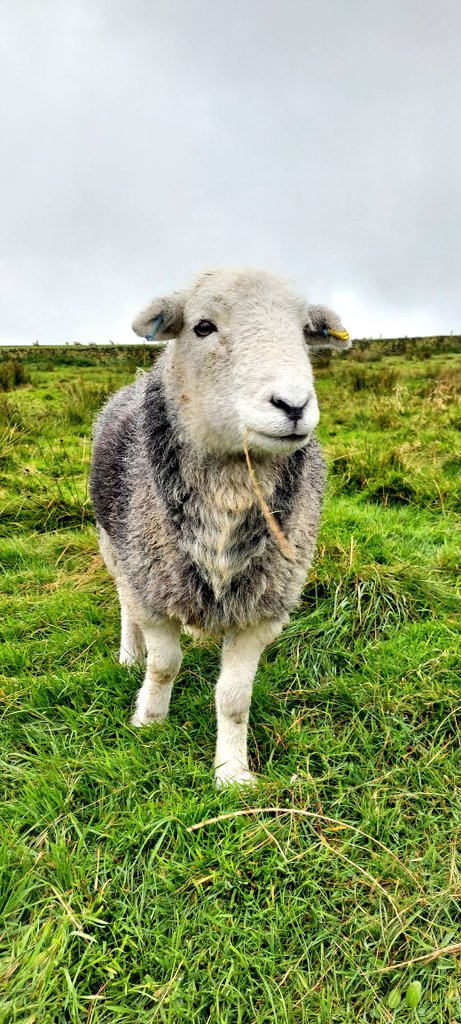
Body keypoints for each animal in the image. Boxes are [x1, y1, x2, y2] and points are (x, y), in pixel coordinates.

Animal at [90, 268, 350, 788]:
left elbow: (234, 698)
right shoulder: (154, 586)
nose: (293, 405)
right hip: (116, 546)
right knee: (125, 601)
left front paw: (232, 772)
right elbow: (164, 665)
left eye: (304, 333)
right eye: (203, 327)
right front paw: (149, 722)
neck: (230, 493)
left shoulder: (263, 610)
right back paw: (130, 654)